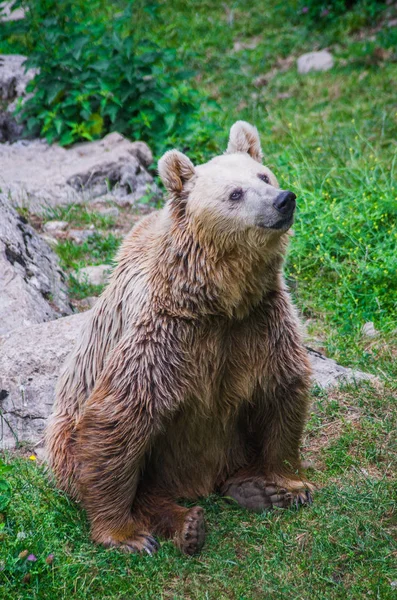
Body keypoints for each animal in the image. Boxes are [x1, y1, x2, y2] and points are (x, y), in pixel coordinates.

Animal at [45, 122, 312, 556]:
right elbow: (120, 417)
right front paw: (126, 535)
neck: (218, 299)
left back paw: (252, 489)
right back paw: (186, 524)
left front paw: (289, 485)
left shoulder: (260, 321)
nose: (282, 200)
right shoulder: (164, 334)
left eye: (263, 176)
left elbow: (282, 387)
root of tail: (198, 482)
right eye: (234, 193)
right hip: (66, 434)